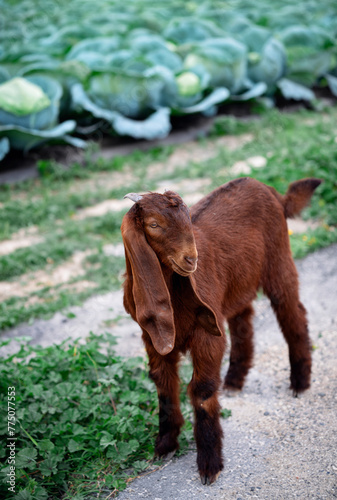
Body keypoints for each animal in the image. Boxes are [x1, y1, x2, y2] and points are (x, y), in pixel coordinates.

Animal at [120, 176, 320, 484]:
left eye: (188, 218)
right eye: (153, 224)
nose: (192, 260)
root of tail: (270, 190)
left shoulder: (207, 334)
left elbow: (201, 390)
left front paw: (209, 463)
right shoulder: (153, 337)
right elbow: (163, 385)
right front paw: (165, 445)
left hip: (279, 260)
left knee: (292, 312)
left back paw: (299, 382)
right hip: (238, 283)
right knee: (243, 322)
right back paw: (235, 379)